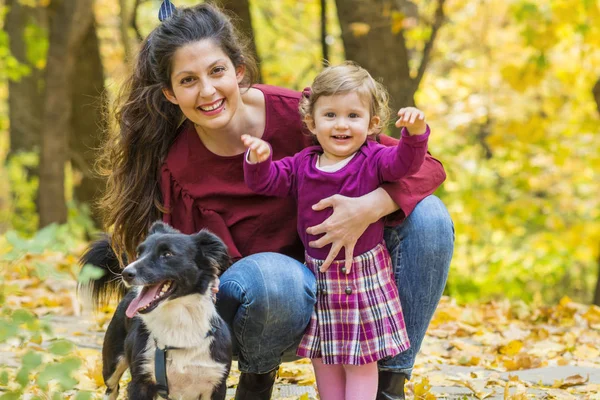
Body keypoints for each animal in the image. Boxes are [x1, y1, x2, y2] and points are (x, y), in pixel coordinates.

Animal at [82, 222, 234, 400]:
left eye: (167, 254)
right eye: (139, 253)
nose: (125, 273)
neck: (178, 321)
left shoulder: (216, 385)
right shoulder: (140, 382)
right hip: (112, 361)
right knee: (111, 388)